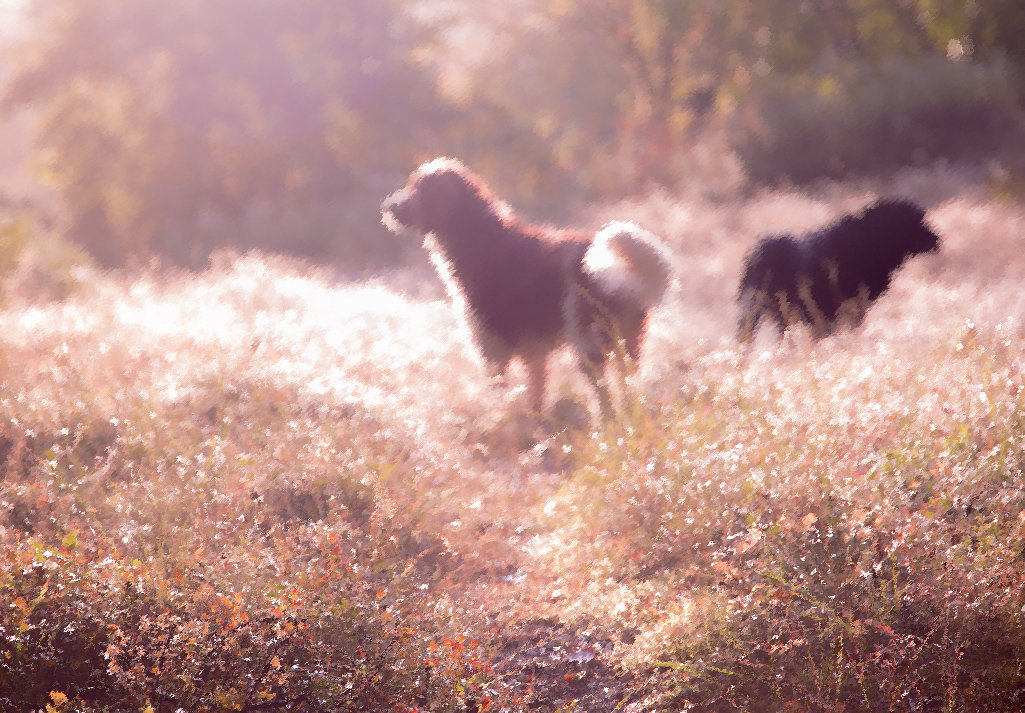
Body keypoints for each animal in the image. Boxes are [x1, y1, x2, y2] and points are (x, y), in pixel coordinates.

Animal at [381, 155, 668, 411]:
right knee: (627, 391)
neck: (476, 236)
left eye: (416, 191)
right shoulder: (534, 355)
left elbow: (502, 395)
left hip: (589, 346)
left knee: (606, 401)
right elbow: (536, 398)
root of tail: (622, 275)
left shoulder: (493, 351)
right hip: (626, 347)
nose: (387, 207)